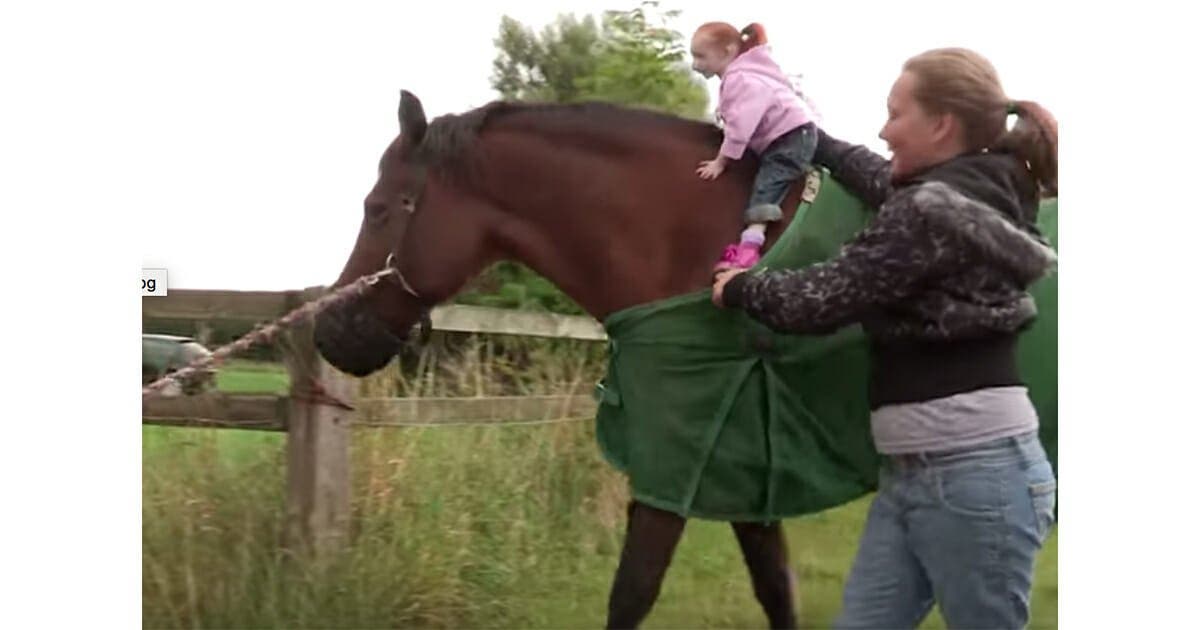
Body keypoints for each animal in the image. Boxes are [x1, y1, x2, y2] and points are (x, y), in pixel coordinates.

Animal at [312, 90, 816, 624]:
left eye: (377, 208)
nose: (328, 332)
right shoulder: (738, 463)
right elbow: (775, 586)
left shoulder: (683, 456)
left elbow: (634, 590)